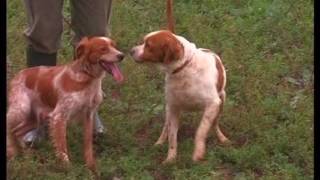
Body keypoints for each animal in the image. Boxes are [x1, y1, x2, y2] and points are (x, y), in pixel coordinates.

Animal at [6, 36, 124, 172]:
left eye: (114, 46)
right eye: (103, 49)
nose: (122, 55)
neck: (87, 78)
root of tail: (17, 76)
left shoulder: (88, 115)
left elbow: (88, 143)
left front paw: (91, 166)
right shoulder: (59, 116)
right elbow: (62, 146)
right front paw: (67, 167)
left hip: (34, 118)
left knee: (16, 132)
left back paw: (23, 154)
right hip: (21, 109)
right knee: (10, 128)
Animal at [130, 30, 230, 164]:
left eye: (149, 45)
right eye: (143, 42)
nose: (131, 51)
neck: (184, 68)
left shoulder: (213, 104)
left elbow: (200, 131)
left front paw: (198, 152)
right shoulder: (173, 107)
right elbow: (172, 137)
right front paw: (170, 159)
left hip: (222, 102)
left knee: (215, 124)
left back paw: (222, 138)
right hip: (168, 108)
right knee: (165, 127)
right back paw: (159, 142)